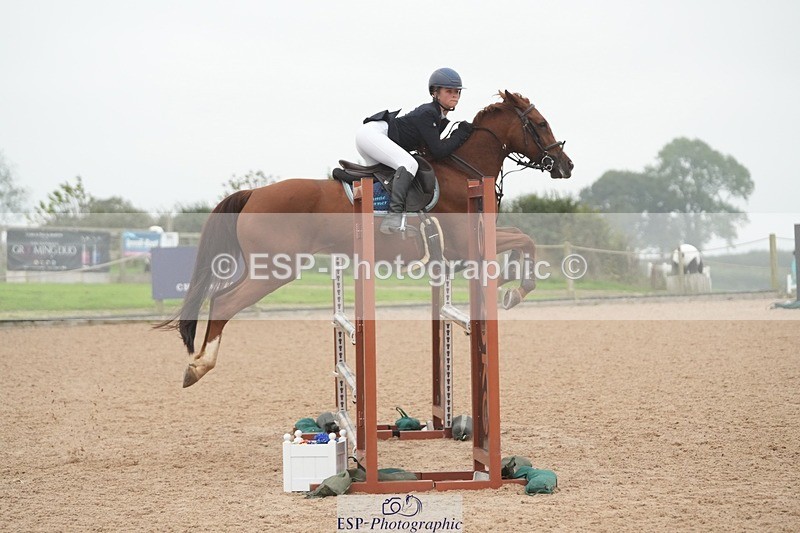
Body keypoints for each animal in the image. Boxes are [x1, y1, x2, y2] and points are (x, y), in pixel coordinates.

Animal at [158, 90, 572, 387]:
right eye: (540, 123)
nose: (566, 166)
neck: (462, 169)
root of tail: (254, 193)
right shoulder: (463, 244)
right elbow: (524, 239)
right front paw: (516, 288)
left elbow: (521, 240)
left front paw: (508, 284)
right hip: (276, 269)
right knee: (225, 302)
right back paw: (199, 367)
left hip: (266, 267)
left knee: (218, 298)